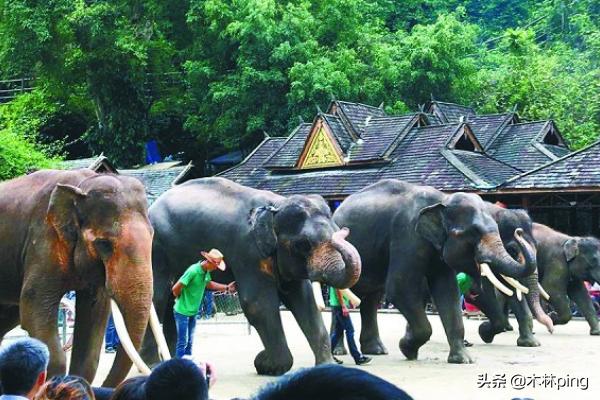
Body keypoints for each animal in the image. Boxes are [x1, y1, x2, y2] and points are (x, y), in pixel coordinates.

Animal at [0, 170, 164, 388]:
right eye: (104, 244)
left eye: (152, 236)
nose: (104, 388)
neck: (83, 183)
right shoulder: (43, 240)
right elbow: (34, 307)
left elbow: (95, 315)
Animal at [142, 177, 360, 376]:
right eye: (303, 245)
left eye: (337, 231)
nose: (345, 231)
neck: (275, 206)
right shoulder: (248, 252)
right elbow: (258, 304)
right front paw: (265, 364)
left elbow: (304, 301)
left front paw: (327, 367)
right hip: (155, 249)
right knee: (157, 298)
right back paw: (153, 366)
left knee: (171, 301)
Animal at [332, 180, 540, 364]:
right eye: (472, 232)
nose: (519, 232)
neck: (442, 200)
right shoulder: (407, 236)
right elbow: (400, 287)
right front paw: (407, 348)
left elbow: (447, 291)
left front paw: (462, 360)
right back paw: (341, 352)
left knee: (372, 298)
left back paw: (376, 350)